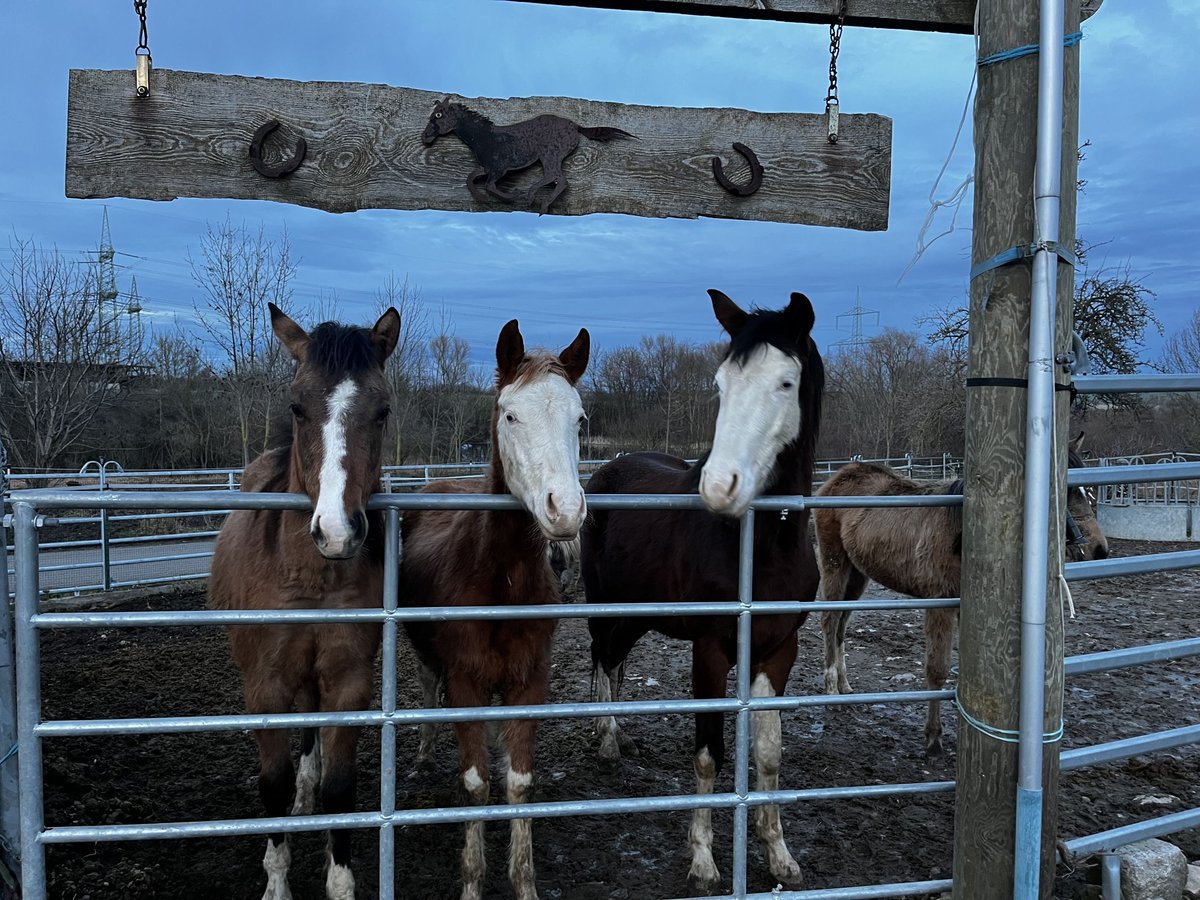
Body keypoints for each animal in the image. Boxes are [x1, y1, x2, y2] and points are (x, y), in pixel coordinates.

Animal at [210, 304, 398, 900]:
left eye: (382, 411)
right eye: (297, 406)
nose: (338, 532)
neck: (310, 576)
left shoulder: (348, 679)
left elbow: (340, 787)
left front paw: (340, 882)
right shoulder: (264, 685)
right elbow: (271, 785)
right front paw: (277, 883)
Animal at [580, 290, 825, 897]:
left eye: (786, 382)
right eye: (721, 383)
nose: (719, 487)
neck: (760, 546)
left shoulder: (778, 651)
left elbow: (769, 753)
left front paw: (779, 856)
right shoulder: (711, 651)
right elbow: (709, 753)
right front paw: (704, 862)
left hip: (640, 613)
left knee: (612, 658)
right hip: (605, 603)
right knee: (600, 654)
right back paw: (607, 737)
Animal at [816, 434, 1104, 758]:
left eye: (1087, 490)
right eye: (1066, 491)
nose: (1099, 549)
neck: (959, 532)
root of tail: (838, 478)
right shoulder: (939, 605)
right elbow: (937, 670)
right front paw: (933, 737)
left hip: (858, 574)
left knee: (841, 624)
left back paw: (844, 685)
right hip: (835, 563)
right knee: (829, 620)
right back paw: (830, 687)